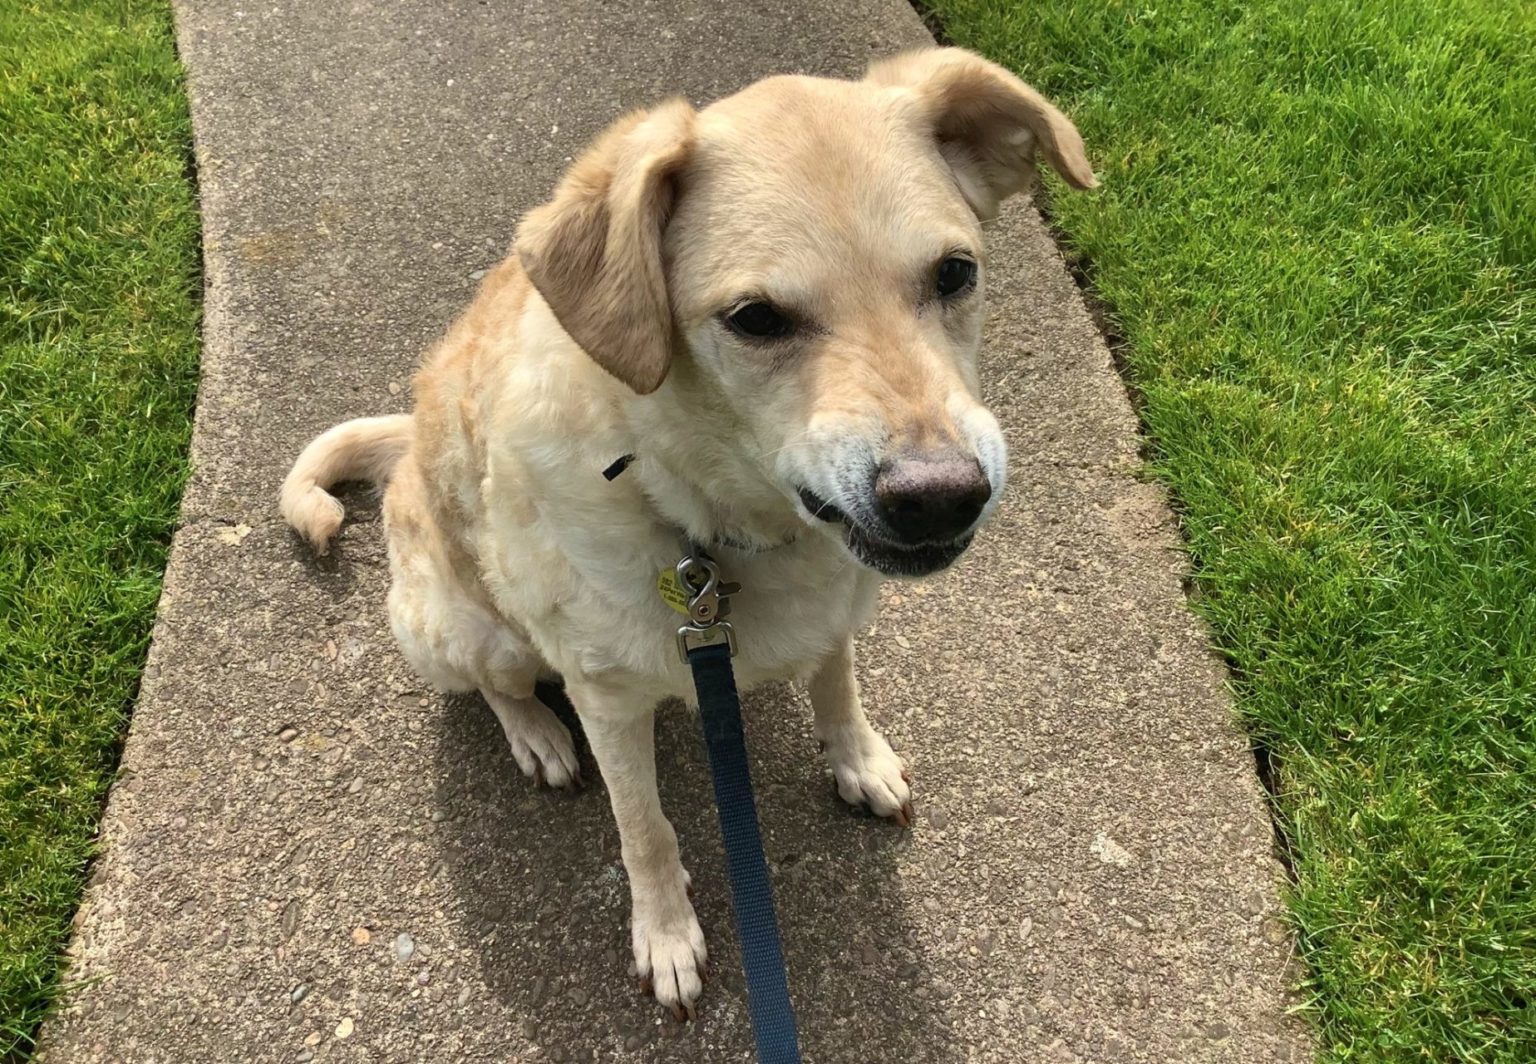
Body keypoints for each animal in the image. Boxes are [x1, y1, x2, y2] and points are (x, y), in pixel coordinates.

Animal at [279, 45, 1093, 1019]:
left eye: (955, 273)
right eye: (755, 319)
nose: (940, 497)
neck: (713, 521)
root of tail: (405, 450)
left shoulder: (837, 608)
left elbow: (837, 682)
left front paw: (857, 758)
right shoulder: (609, 703)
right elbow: (645, 829)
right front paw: (665, 934)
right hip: (463, 632)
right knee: (495, 687)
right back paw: (535, 734)